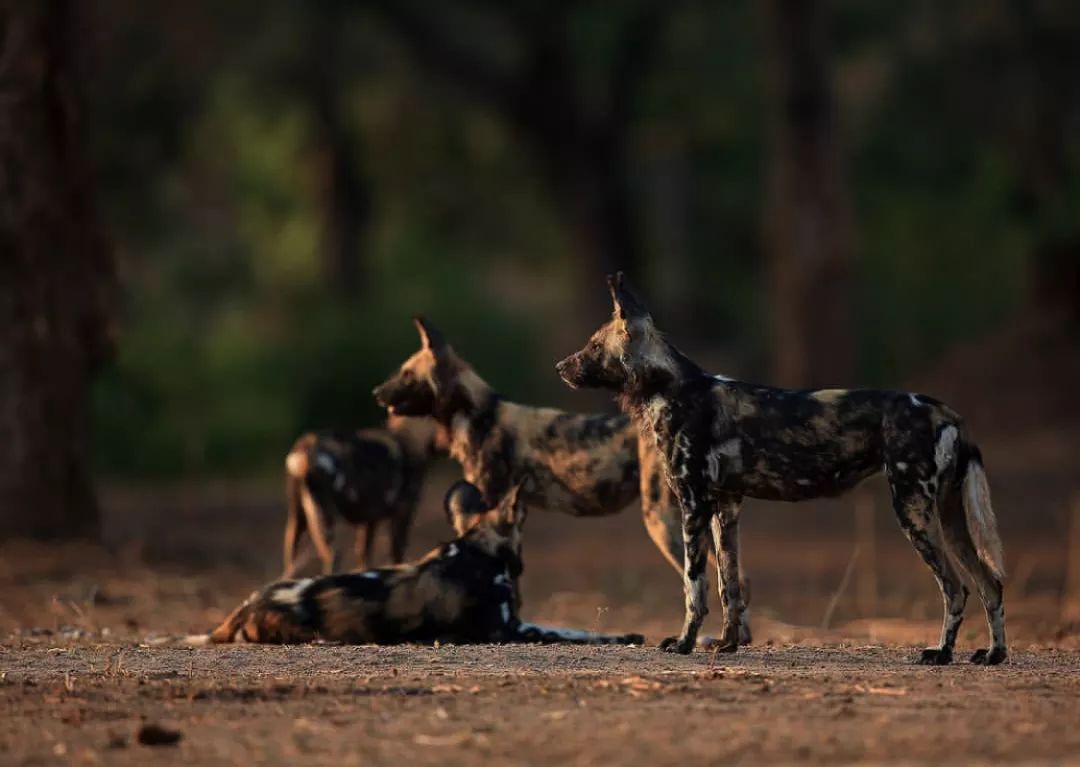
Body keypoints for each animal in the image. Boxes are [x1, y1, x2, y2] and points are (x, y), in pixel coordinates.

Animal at [282, 414, 442, 579]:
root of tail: (307, 444)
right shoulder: (402, 513)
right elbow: (398, 557)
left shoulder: (369, 521)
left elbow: (363, 559)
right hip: (325, 515)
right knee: (334, 555)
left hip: (297, 518)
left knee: (291, 559)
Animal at [375, 315, 756, 643]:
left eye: (406, 375)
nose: (376, 393)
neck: (480, 415)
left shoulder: (493, 504)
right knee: (735, 576)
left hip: (662, 520)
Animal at [561, 274, 1006, 665]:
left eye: (593, 345)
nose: (560, 367)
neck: (670, 387)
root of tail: (945, 411)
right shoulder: (726, 507)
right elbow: (728, 586)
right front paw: (727, 645)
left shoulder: (693, 506)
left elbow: (695, 586)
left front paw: (685, 643)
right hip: (948, 516)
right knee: (990, 583)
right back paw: (993, 655)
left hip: (913, 510)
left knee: (956, 588)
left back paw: (942, 653)